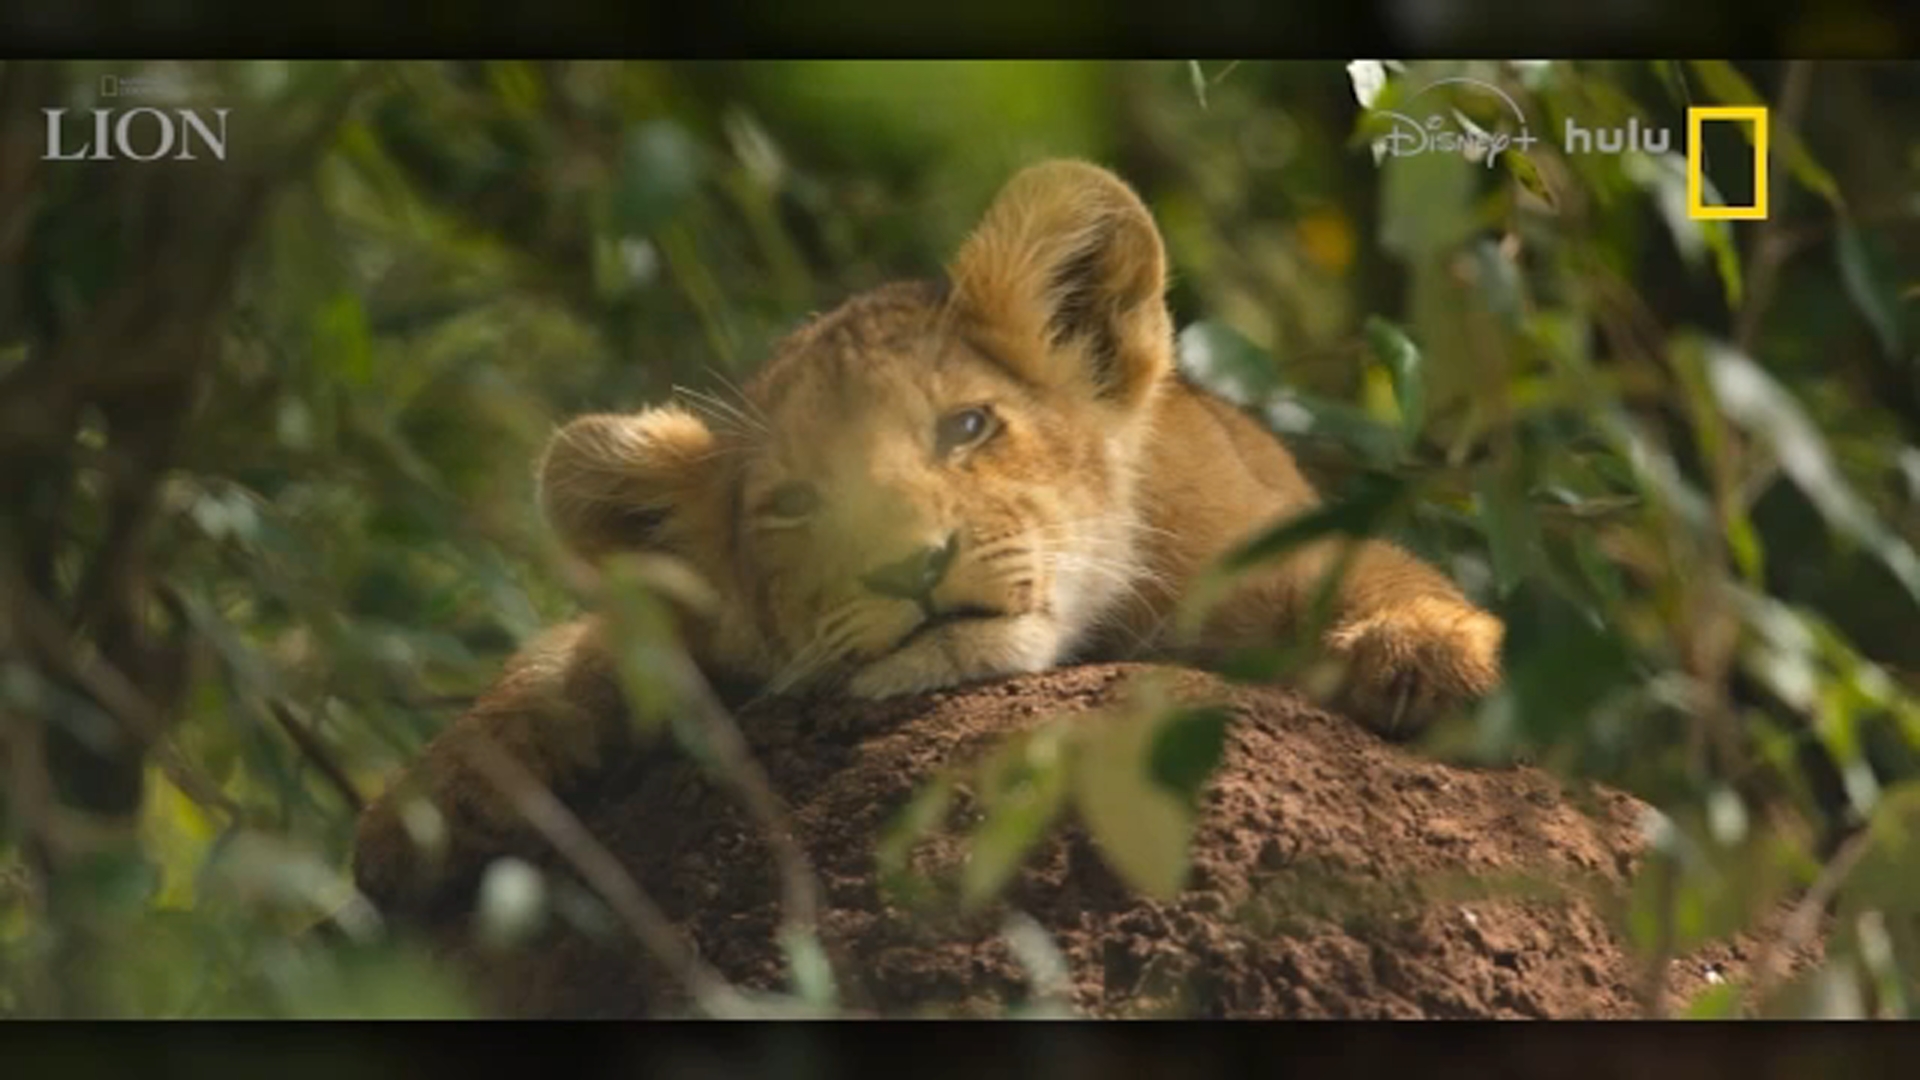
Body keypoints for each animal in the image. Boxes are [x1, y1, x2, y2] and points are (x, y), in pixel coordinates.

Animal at [352, 159, 1504, 911]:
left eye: (968, 427)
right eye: (793, 504)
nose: (911, 568)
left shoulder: (1253, 546)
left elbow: (1372, 569)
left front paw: (1434, 655)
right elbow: (564, 655)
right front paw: (426, 806)